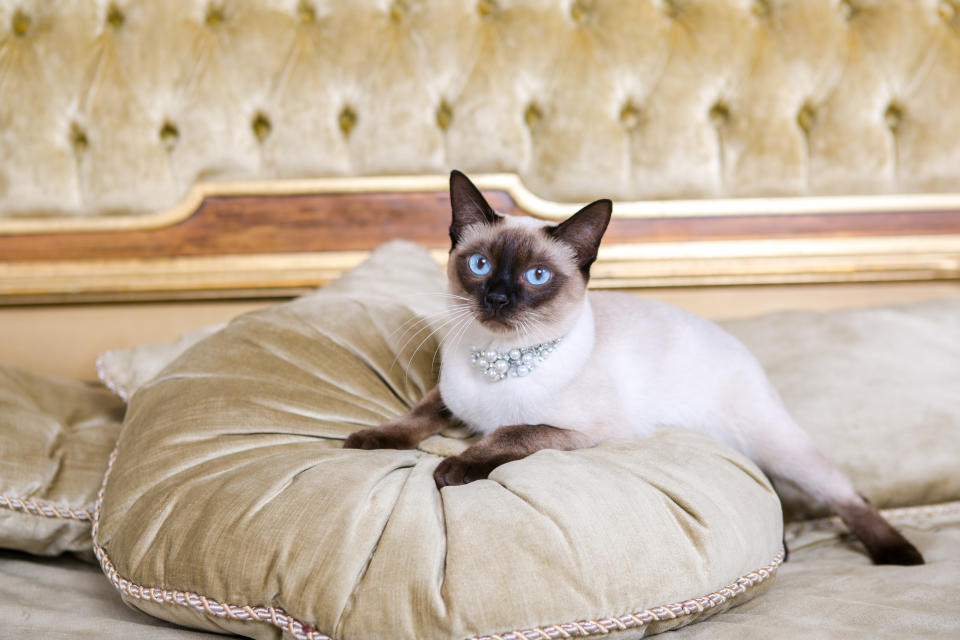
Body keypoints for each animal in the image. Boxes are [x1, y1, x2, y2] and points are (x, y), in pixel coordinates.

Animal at [344, 170, 924, 564]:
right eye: (480, 265)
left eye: (536, 276)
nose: (499, 298)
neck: (500, 361)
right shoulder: (450, 399)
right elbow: (416, 416)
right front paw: (369, 440)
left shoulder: (578, 431)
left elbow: (508, 432)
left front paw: (454, 467)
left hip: (778, 447)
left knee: (848, 494)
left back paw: (899, 556)